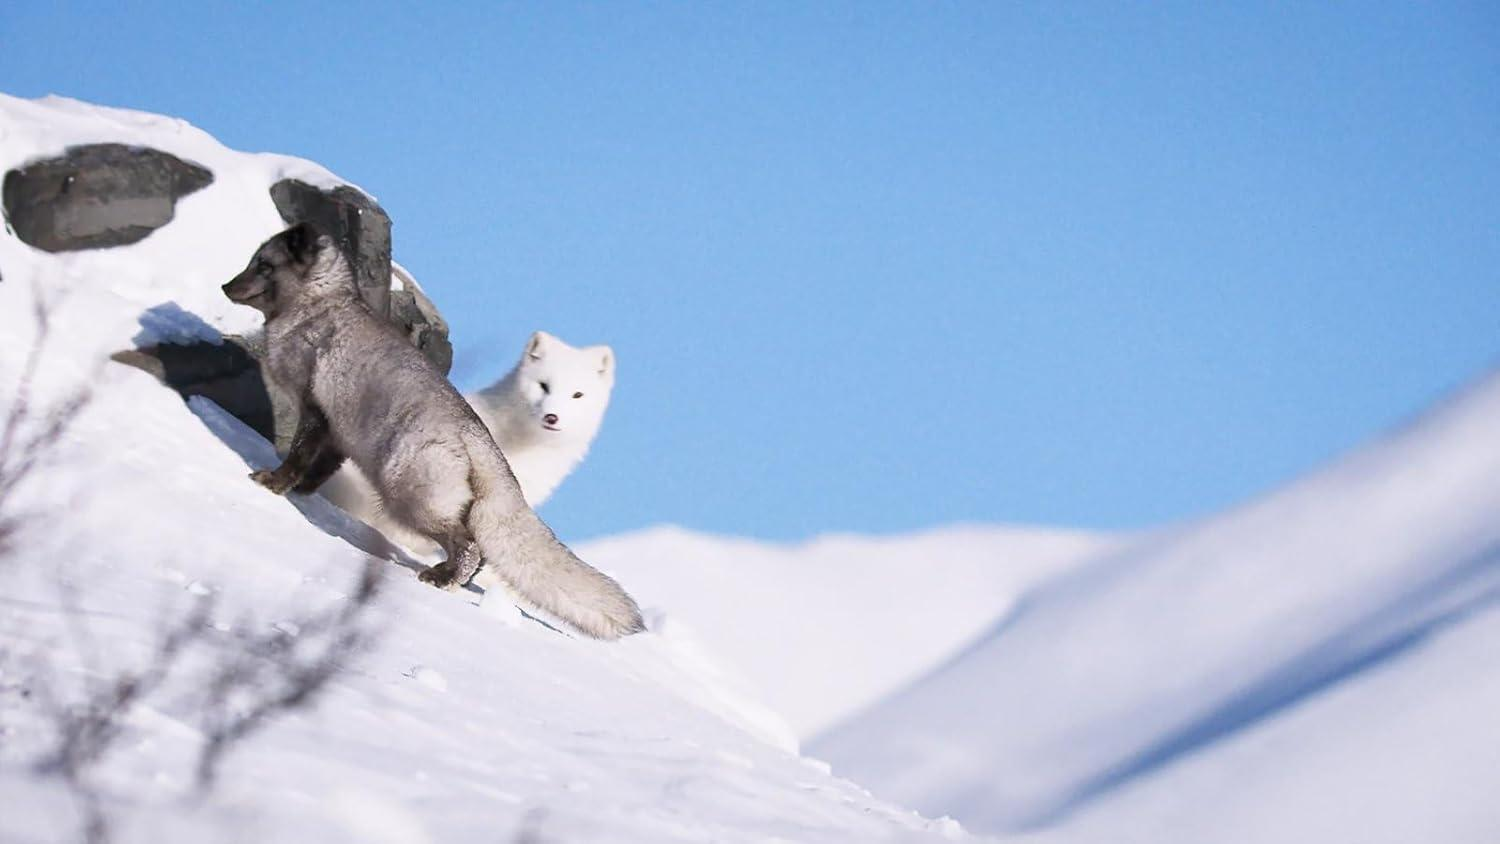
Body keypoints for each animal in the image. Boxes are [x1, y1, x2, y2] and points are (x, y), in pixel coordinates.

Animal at [220, 222, 645, 639]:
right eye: (253, 261)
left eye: (264, 265)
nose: (226, 286)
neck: (317, 308)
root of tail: (481, 439)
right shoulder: (338, 432)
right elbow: (320, 468)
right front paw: (305, 493)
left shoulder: (314, 410)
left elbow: (298, 455)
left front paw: (273, 482)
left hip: (408, 496)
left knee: (468, 545)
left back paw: (440, 578)